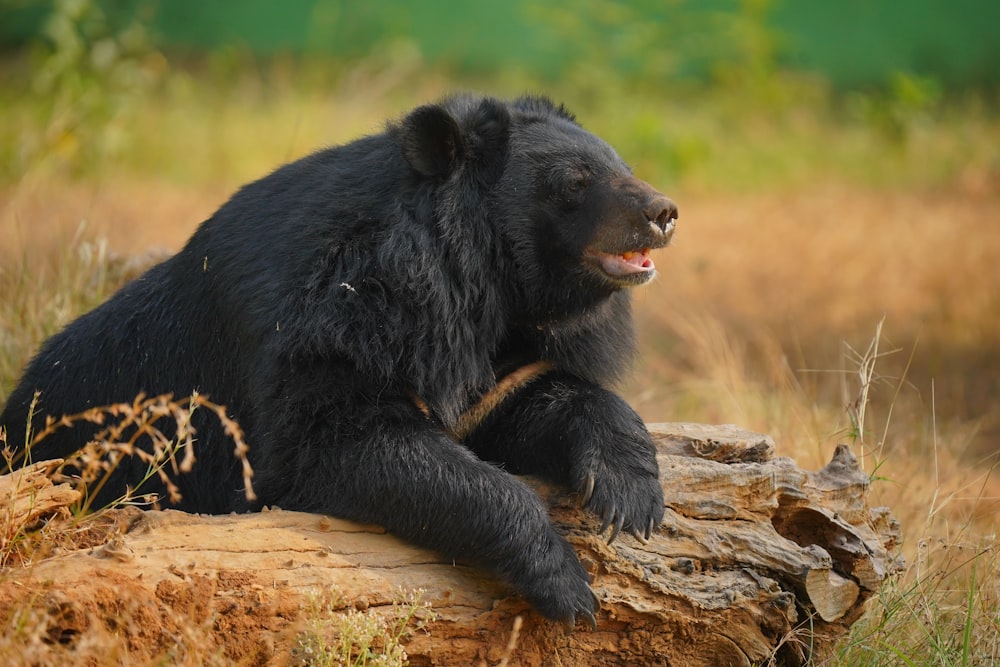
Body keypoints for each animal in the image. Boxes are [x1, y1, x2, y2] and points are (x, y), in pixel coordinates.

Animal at [1, 92, 680, 628]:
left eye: (624, 167)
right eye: (574, 182)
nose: (663, 213)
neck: (484, 286)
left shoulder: (503, 352)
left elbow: (537, 396)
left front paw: (629, 498)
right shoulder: (334, 321)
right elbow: (341, 442)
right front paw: (568, 585)